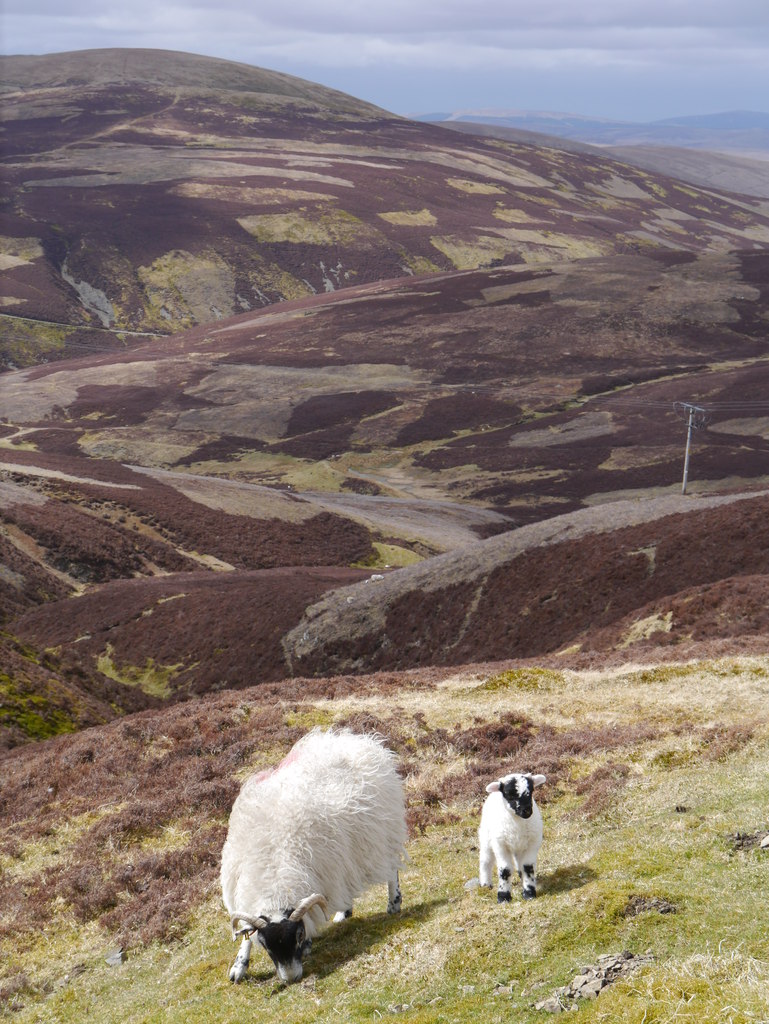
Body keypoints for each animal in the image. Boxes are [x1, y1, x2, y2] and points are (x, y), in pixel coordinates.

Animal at [221, 729, 409, 983]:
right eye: (267, 946)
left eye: (298, 936)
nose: (291, 978)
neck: (272, 872)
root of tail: (358, 739)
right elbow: (245, 935)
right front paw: (239, 964)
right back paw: (344, 911)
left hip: (383, 831)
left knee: (390, 868)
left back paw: (393, 903)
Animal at [479, 770, 544, 901]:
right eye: (509, 795)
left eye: (531, 791)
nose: (527, 811)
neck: (517, 823)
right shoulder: (500, 846)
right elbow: (505, 870)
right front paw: (503, 896)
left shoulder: (532, 844)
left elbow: (527, 867)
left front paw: (529, 892)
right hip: (486, 838)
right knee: (485, 860)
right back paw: (485, 884)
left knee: (519, 862)